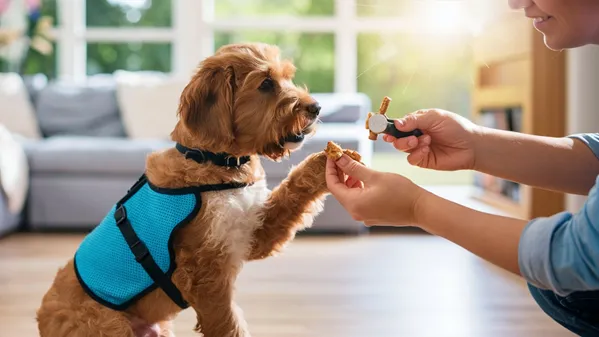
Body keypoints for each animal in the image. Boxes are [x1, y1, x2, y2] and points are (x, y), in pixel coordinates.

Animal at [36, 42, 332, 336]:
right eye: (266, 83)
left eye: (287, 77)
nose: (317, 107)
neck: (212, 160)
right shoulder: (203, 272)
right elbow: (227, 323)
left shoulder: (252, 233)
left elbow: (292, 193)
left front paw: (326, 162)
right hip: (109, 325)